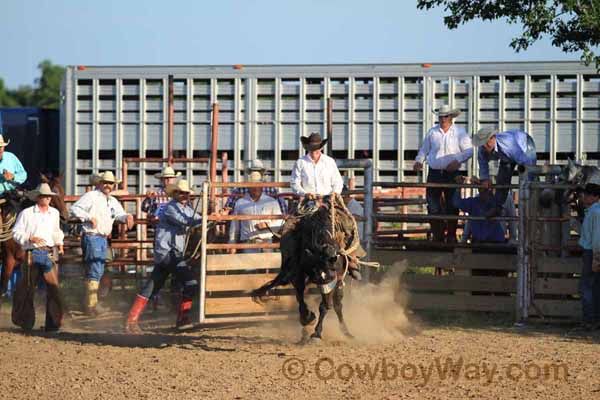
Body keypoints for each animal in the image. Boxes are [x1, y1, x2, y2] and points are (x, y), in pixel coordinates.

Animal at [252, 193, 360, 340]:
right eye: (318, 273)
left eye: (331, 273)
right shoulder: (299, 274)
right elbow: (300, 298)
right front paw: (308, 319)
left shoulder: (336, 278)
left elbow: (325, 305)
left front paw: (317, 332)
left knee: (337, 305)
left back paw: (346, 331)